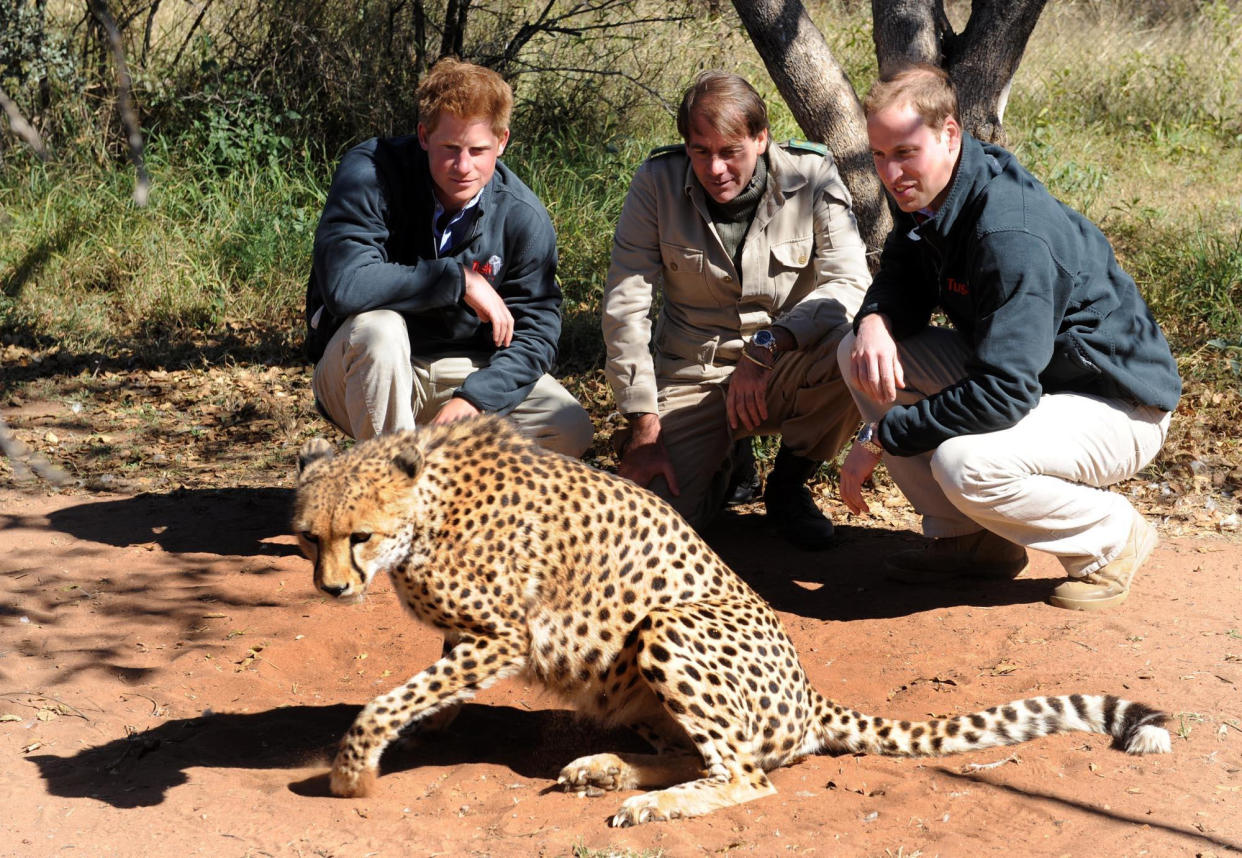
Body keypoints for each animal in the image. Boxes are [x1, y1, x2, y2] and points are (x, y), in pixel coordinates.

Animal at [293, 417, 1172, 824]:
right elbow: (431, 685)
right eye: (307, 537)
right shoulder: (476, 635)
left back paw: (647, 804)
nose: (332, 590)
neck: (425, 508)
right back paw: (607, 770)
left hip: (667, 625)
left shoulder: (504, 633)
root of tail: (810, 695)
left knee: (747, 776)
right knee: (703, 756)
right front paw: (427, 729)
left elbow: (396, 695)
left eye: (357, 537)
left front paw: (353, 767)